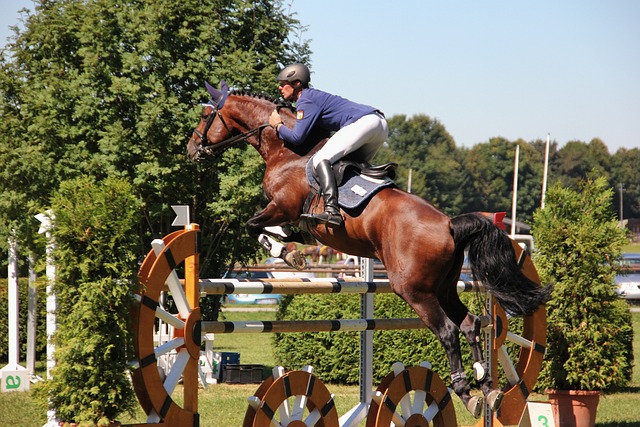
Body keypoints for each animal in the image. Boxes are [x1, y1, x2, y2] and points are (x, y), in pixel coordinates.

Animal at [185, 82, 552, 420]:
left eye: (204, 116)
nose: (191, 149)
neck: (287, 152)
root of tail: (450, 224)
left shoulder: (281, 207)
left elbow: (253, 226)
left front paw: (288, 254)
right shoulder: (297, 222)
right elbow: (278, 231)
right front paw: (292, 252)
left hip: (414, 290)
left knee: (448, 331)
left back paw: (466, 390)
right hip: (445, 287)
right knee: (470, 324)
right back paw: (486, 387)